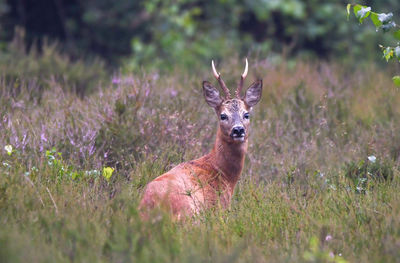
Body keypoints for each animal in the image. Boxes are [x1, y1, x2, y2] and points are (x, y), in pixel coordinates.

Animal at [139, 59, 264, 221]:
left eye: (246, 114)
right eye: (223, 115)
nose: (238, 130)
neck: (222, 173)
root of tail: (151, 205)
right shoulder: (219, 206)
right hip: (188, 210)